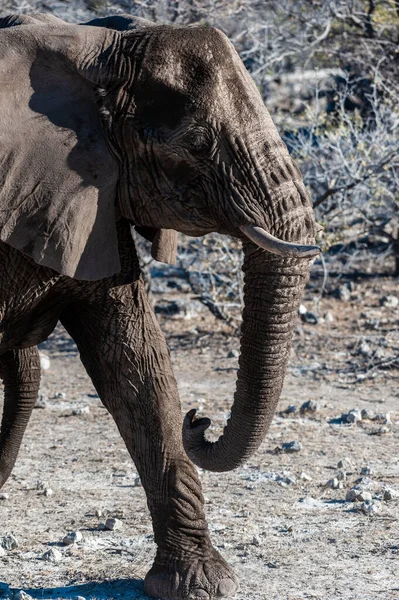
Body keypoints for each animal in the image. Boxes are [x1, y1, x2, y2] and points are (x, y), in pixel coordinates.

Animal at [0, 12, 318, 600]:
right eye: (194, 146)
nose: (203, 419)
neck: (92, 46)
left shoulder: (94, 199)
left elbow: (136, 369)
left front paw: (199, 583)